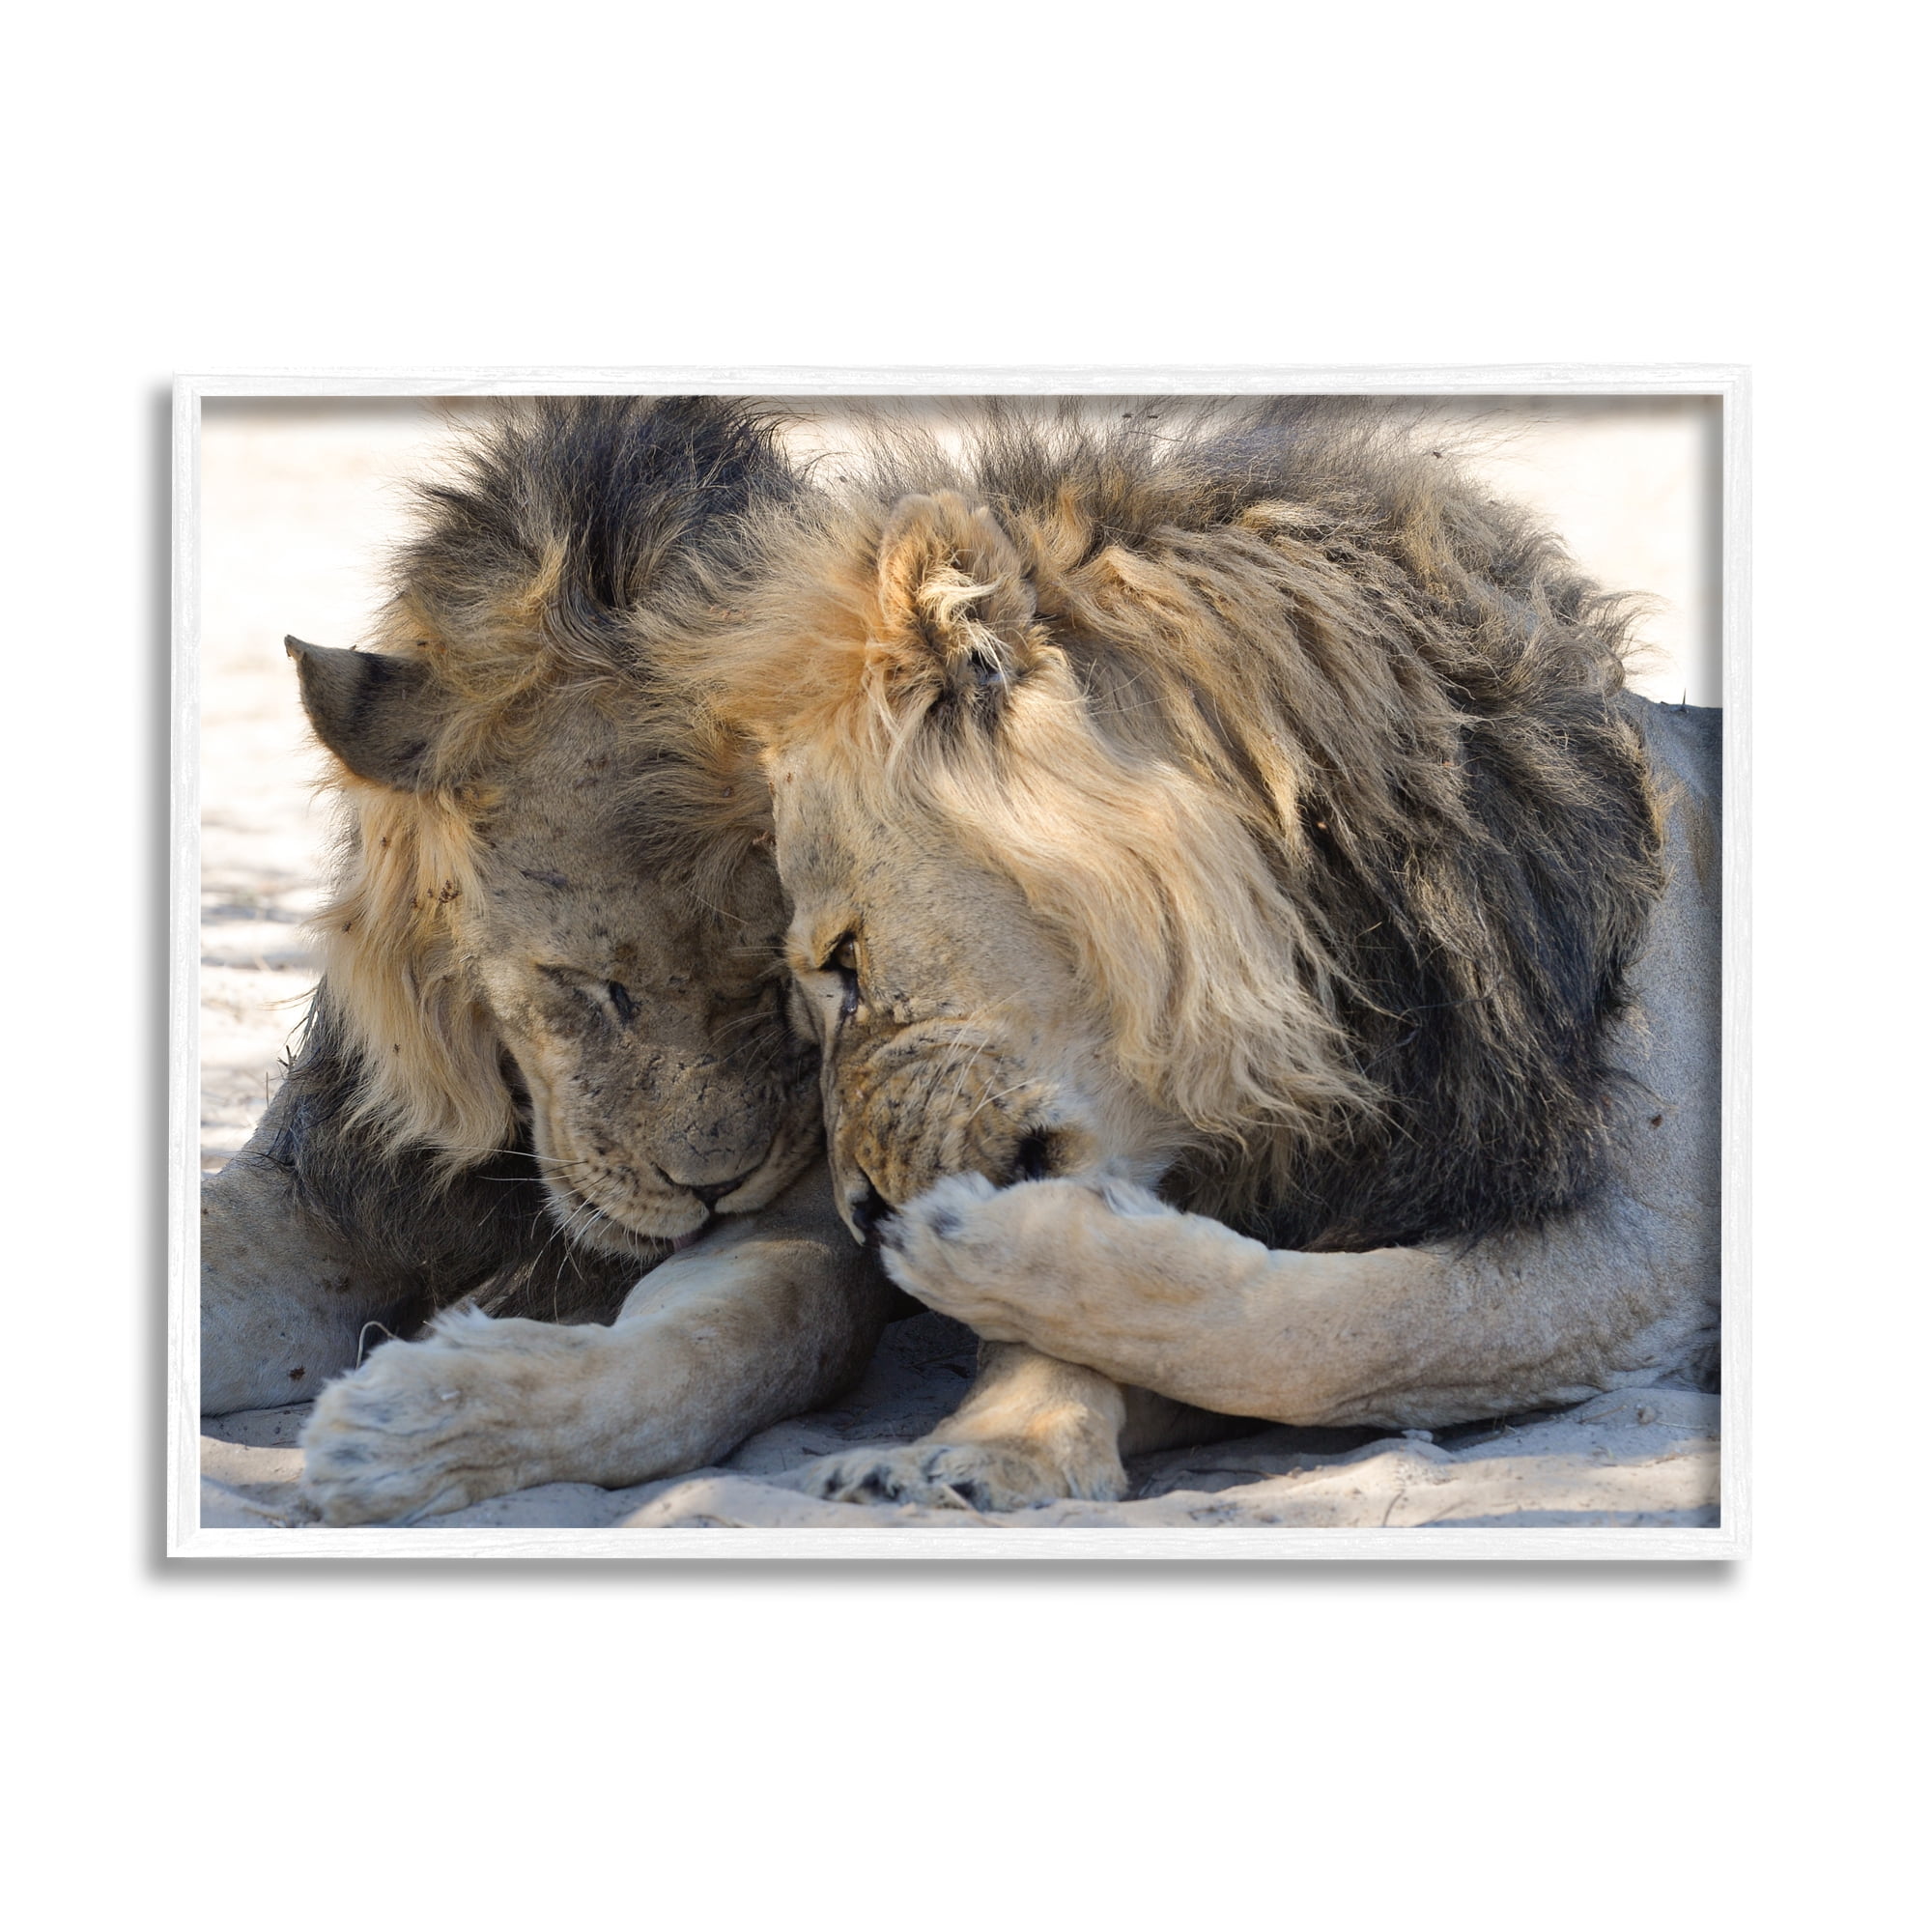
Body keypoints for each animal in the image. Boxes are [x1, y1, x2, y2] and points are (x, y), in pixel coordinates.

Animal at [199, 396, 895, 1524]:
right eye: (591, 987)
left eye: (781, 983)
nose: (714, 1186)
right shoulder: (322, 1184)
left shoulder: (807, 1219)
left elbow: (739, 1339)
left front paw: (421, 1425)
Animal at [677, 398, 1722, 1513]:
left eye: (846, 959)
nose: (863, 1215)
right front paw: (992, 1443)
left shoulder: (1644, 1246)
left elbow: (1331, 1332)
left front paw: (978, 1253)